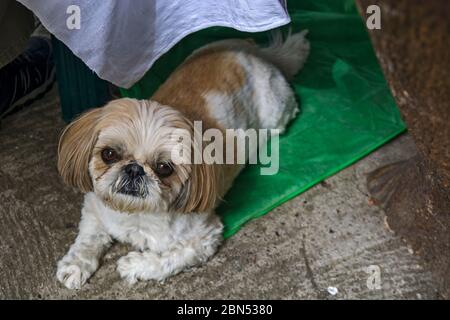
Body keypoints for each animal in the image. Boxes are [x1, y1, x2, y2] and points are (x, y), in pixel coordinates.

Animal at [56, 31, 310, 288]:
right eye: (109, 154)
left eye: (163, 167)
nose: (134, 169)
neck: (135, 213)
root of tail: (255, 54)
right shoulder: (94, 207)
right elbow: (89, 238)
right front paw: (76, 264)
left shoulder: (202, 239)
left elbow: (166, 260)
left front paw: (134, 264)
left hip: (276, 111)